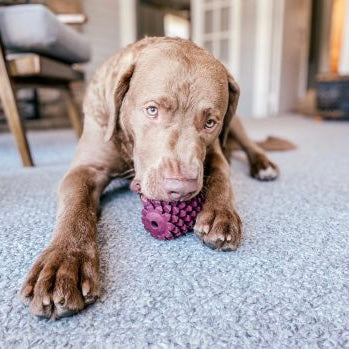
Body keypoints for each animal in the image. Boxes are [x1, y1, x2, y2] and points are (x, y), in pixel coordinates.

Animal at [21, 36, 278, 316]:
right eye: (152, 110)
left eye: (210, 122)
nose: (181, 188)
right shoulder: (85, 168)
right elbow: (76, 206)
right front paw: (64, 262)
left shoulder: (213, 152)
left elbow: (222, 176)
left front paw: (221, 213)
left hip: (236, 125)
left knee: (248, 145)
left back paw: (263, 165)